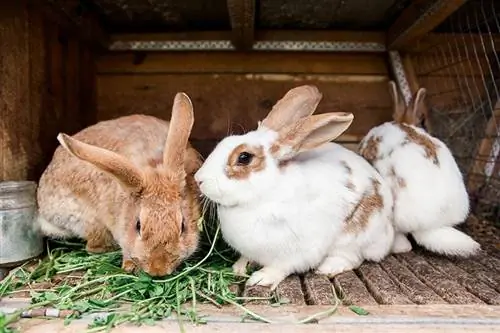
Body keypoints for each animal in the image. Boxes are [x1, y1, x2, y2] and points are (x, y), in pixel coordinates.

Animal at [36, 91, 205, 274]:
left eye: (183, 226)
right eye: (138, 225)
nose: (158, 270)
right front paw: (129, 265)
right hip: (91, 220)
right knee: (93, 246)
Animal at [194, 86, 394, 290]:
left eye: (244, 157)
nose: (198, 179)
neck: (263, 194)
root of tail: (388, 232)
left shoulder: (296, 252)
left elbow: (280, 267)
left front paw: (261, 278)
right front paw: (240, 267)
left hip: (354, 235)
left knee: (352, 257)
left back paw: (327, 268)